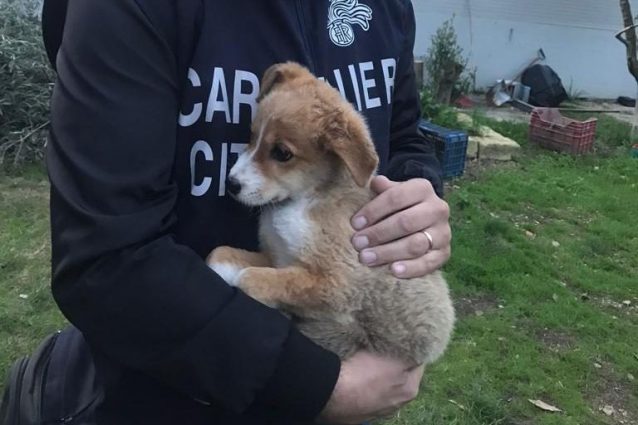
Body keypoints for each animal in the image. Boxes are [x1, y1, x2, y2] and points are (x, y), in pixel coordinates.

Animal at [207, 62, 454, 367]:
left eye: (282, 153)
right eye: (252, 137)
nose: (231, 184)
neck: (304, 199)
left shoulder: (336, 284)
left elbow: (254, 278)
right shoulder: (277, 256)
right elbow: (220, 254)